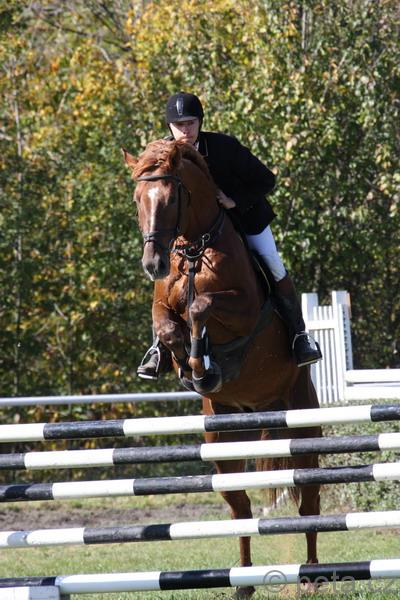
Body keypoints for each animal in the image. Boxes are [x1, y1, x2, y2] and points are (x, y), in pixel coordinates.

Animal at [124, 139, 321, 598]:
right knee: (240, 507)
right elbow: (168, 324)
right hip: (223, 439)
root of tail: (260, 409)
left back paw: (311, 575)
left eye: (171, 198)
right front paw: (189, 364)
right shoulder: (162, 305)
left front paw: (201, 359)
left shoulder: (242, 308)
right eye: (138, 199)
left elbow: (201, 306)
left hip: (302, 424)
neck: (194, 249)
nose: (153, 264)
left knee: (309, 501)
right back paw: (243, 582)